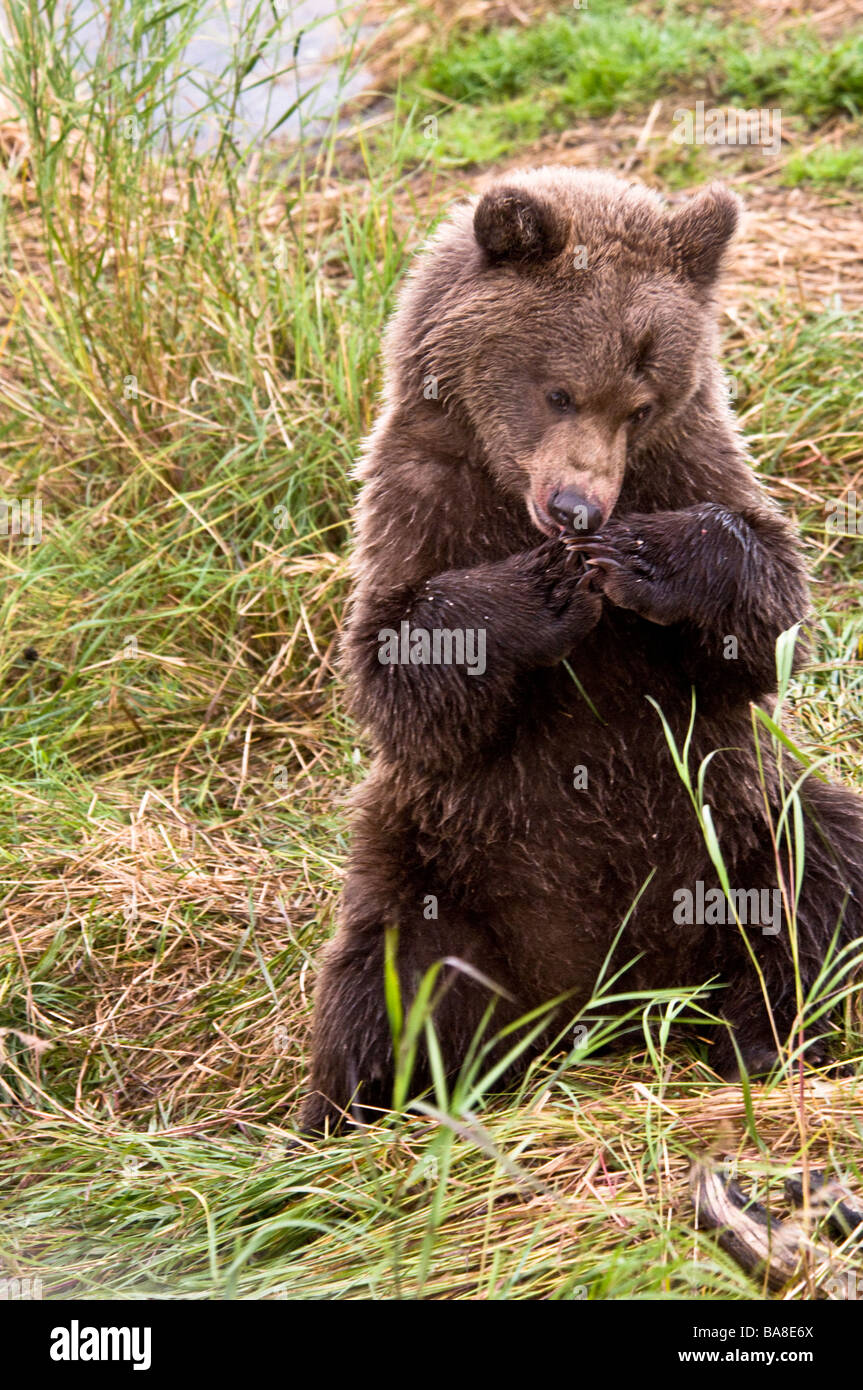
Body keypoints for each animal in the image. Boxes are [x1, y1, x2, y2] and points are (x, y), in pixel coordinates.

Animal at [297, 168, 861, 1134]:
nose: (577, 509)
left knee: (818, 876)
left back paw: (760, 1039)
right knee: (390, 977)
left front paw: (645, 559)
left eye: (639, 405)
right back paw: (364, 1108)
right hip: (437, 863)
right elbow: (400, 675)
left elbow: (767, 610)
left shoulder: (691, 463)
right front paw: (541, 595)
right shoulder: (415, 505)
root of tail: (603, 1008)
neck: (502, 482)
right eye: (559, 391)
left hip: (737, 820)